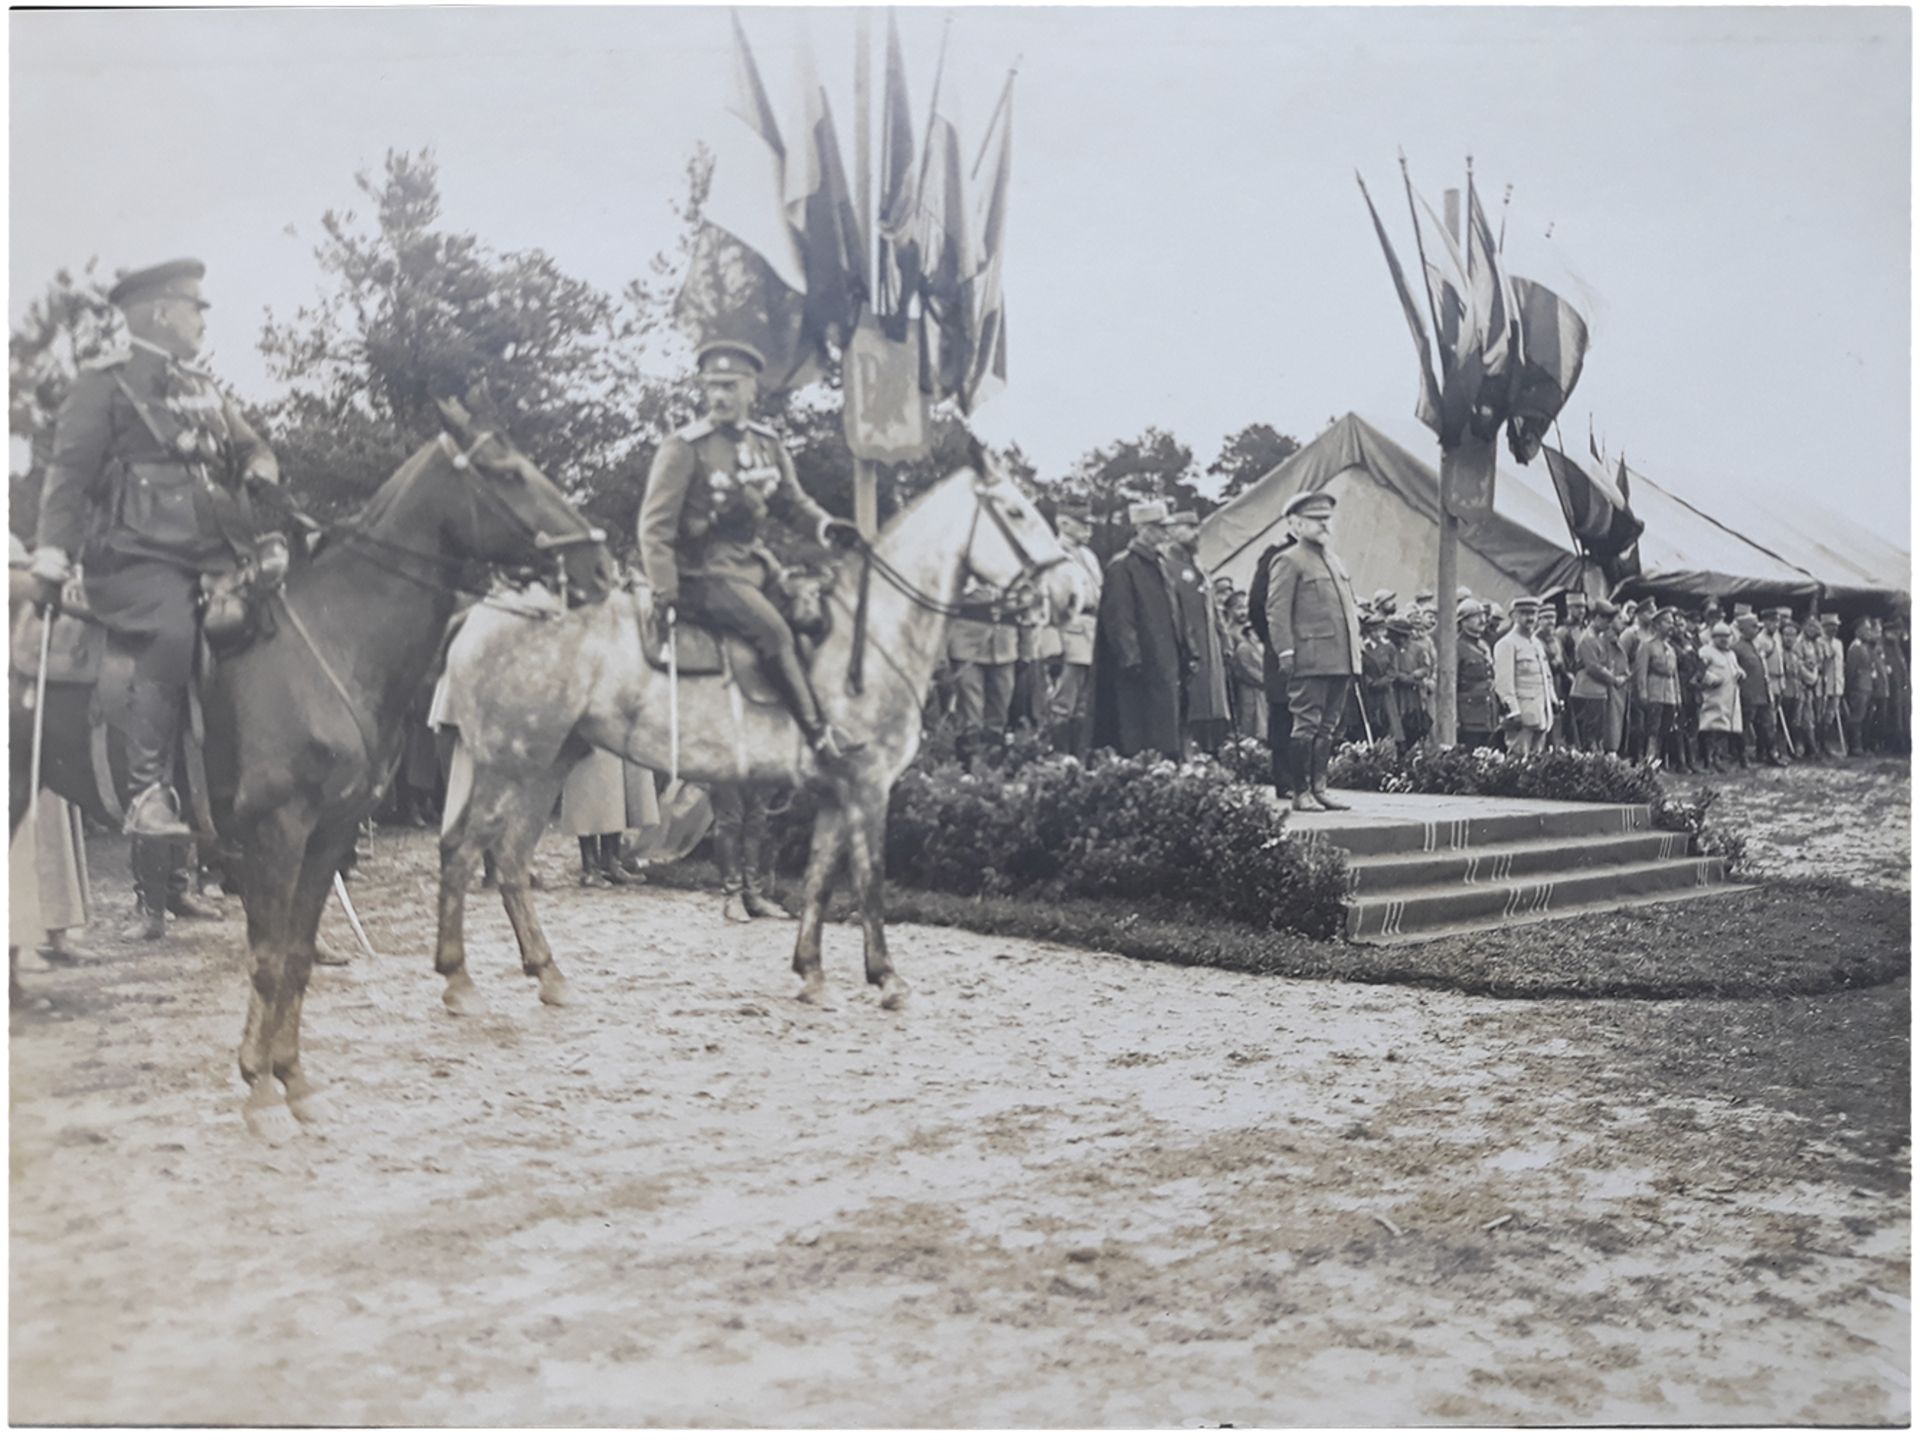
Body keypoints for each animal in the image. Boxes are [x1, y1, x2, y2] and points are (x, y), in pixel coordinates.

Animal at [430, 462, 1082, 1013]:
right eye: (1017, 512)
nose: (1073, 595)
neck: (869, 637)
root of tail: (484, 610)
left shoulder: (834, 793)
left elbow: (819, 880)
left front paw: (811, 973)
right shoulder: (868, 786)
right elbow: (870, 881)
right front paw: (886, 977)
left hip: (546, 764)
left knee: (509, 859)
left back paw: (548, 974)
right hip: (511, 763)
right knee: (464, 849)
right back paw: (459, 980)